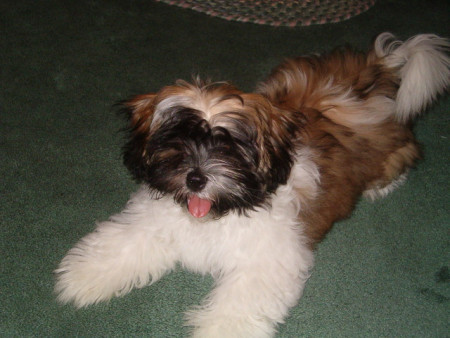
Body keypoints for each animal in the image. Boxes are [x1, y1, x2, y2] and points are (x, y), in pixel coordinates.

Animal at [54, 33, 448, 336]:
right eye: (179, 140)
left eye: (229, 147)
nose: (196, 178)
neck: (220, 211)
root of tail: (376, 70)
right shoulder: (153, 220)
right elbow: (122, 243)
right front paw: (83, 275)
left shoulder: (269, 258)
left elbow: (241, 299)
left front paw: (220, 329)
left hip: (395, 146)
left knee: (403, 157)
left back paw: (381, 184)